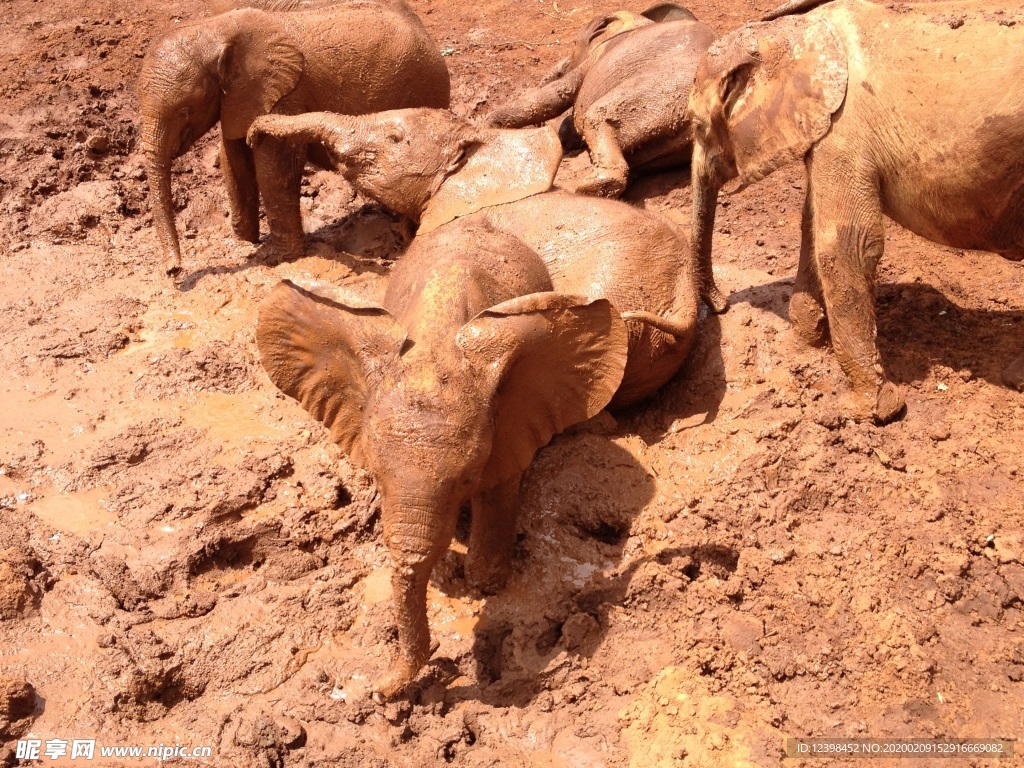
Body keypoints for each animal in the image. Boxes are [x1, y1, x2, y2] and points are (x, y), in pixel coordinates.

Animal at [138, 0, 450, 276]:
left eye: (185, 110)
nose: (174, 271)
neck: (216, 29)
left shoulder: (283, 94)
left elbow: (276, 167)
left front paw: (280, 258)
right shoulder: (237, 99)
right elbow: (233, 158)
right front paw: (245, 241)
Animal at [485, 1, 712, 198]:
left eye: (574, 44)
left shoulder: (594, 59)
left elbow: (556, 95)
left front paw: (487, 128)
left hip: (658, 92)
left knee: (596, 117)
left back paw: (589, 188)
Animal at [684, 0, 1024, 421]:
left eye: (697, 126)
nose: (721, 305)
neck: (790, 31)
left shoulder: (845, 132)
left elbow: (847, 246)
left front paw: (872, 409)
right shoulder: (825, 135)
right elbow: (812, 228)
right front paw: (803, 344)